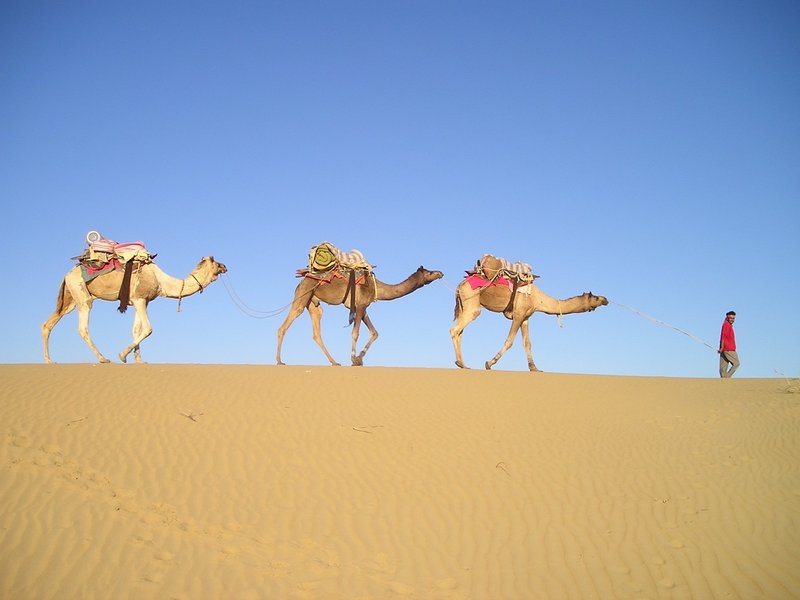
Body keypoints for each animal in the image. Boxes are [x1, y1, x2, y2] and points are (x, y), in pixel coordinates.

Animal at [42, 256, 227, 364]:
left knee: (47, 324)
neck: (161, 281)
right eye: (216, 262)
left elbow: (136, 330)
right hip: (81, 294)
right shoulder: (139, 298)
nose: (225, 266)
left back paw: (49, 360)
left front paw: (139, 360)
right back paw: (103, 358)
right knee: (83, 328)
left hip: (70, 299)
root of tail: (67, 274)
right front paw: (122, 355)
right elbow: (148, 329)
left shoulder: (142, 301)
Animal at [276, 266, 443, 366]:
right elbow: (355, 333)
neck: (377, 288)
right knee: (285, 324)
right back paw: (279, 361)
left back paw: (334, 362)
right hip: (303, 294)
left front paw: (359, 358)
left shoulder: (361, 307)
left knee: (316, 332)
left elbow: (374, 332)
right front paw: (354, 359)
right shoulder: (361, 305)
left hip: (313, 303)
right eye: (429, 272)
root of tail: (301, 281)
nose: (440, 273)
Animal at [450, 268, 608, 372]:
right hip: (472, 304)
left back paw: (462, 364)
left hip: (463, 306)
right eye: (595, 297)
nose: (605, 299)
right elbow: (509, 341)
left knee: (460, 332)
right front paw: (489, 363)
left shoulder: (526, 317)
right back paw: (461, 364)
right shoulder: (518, 314)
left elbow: (527, 343)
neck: (539, 299)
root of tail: (460, 285)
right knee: (455, 329)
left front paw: (534, 368)